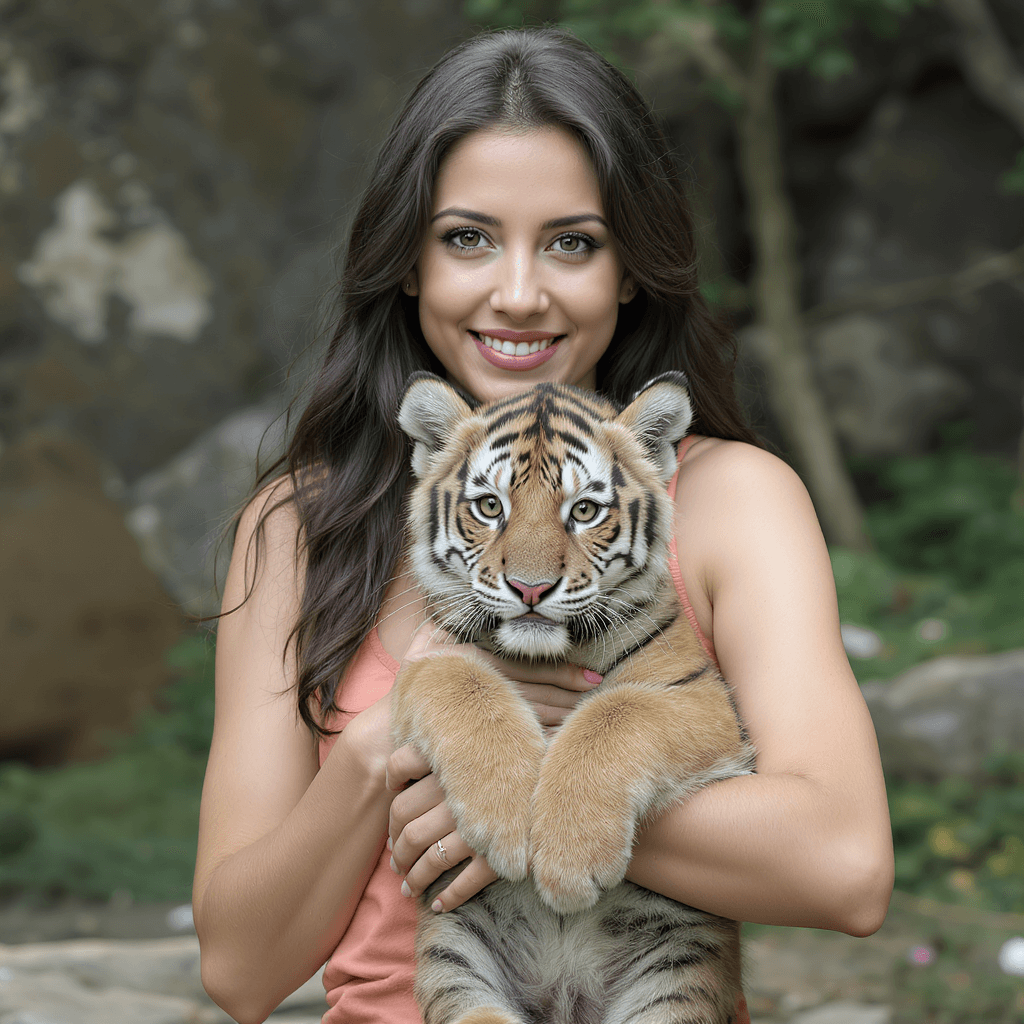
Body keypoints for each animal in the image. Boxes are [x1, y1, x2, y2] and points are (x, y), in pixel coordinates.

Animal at [390, 370, 756, 1024]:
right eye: (490, 506)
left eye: (583, 510)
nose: (530, 588)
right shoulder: (423, 665)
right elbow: (462, 681)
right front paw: (508, 820)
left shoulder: (704, 701)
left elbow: (620, 709)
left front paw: (569, 862)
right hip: (454, 956)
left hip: (678, 973)